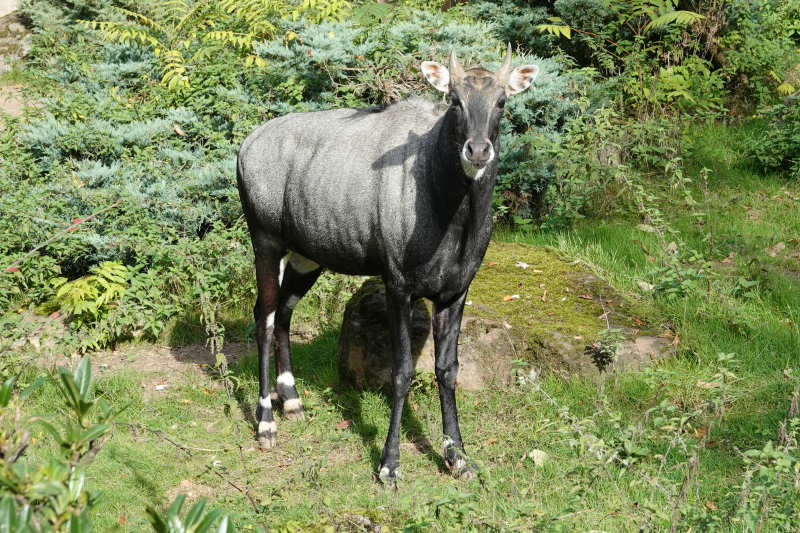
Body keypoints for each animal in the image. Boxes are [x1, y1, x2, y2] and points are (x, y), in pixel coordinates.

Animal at [236, 45, 536, 482]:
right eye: (454, 100)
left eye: (501, 101)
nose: (478, 150)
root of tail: (246, 145)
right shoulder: (398, 286)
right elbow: (401, 372)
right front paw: (389, 464)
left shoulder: (455, 291)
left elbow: (448, 369)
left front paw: (458, 456)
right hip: (266, 242)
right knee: (265, 317)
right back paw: (266, 423)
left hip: (307, 256)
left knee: (284, 312)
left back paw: (291, 400)